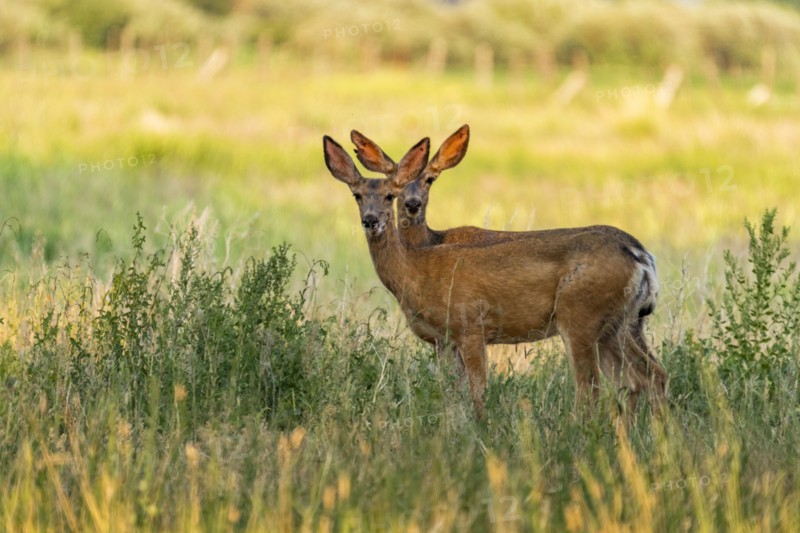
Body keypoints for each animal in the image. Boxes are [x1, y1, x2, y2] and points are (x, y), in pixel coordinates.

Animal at [323, 133, 667, 421]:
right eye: (357, 195)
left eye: (388, 196)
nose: (371, 221)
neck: (415, 270)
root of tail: (640, 255)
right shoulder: (443, 341)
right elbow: (449, 394)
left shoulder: (470, 325)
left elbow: (478, 393)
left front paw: (481, 431)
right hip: (621, 323)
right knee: (648, 376)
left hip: (580, 314)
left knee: (594, 387)